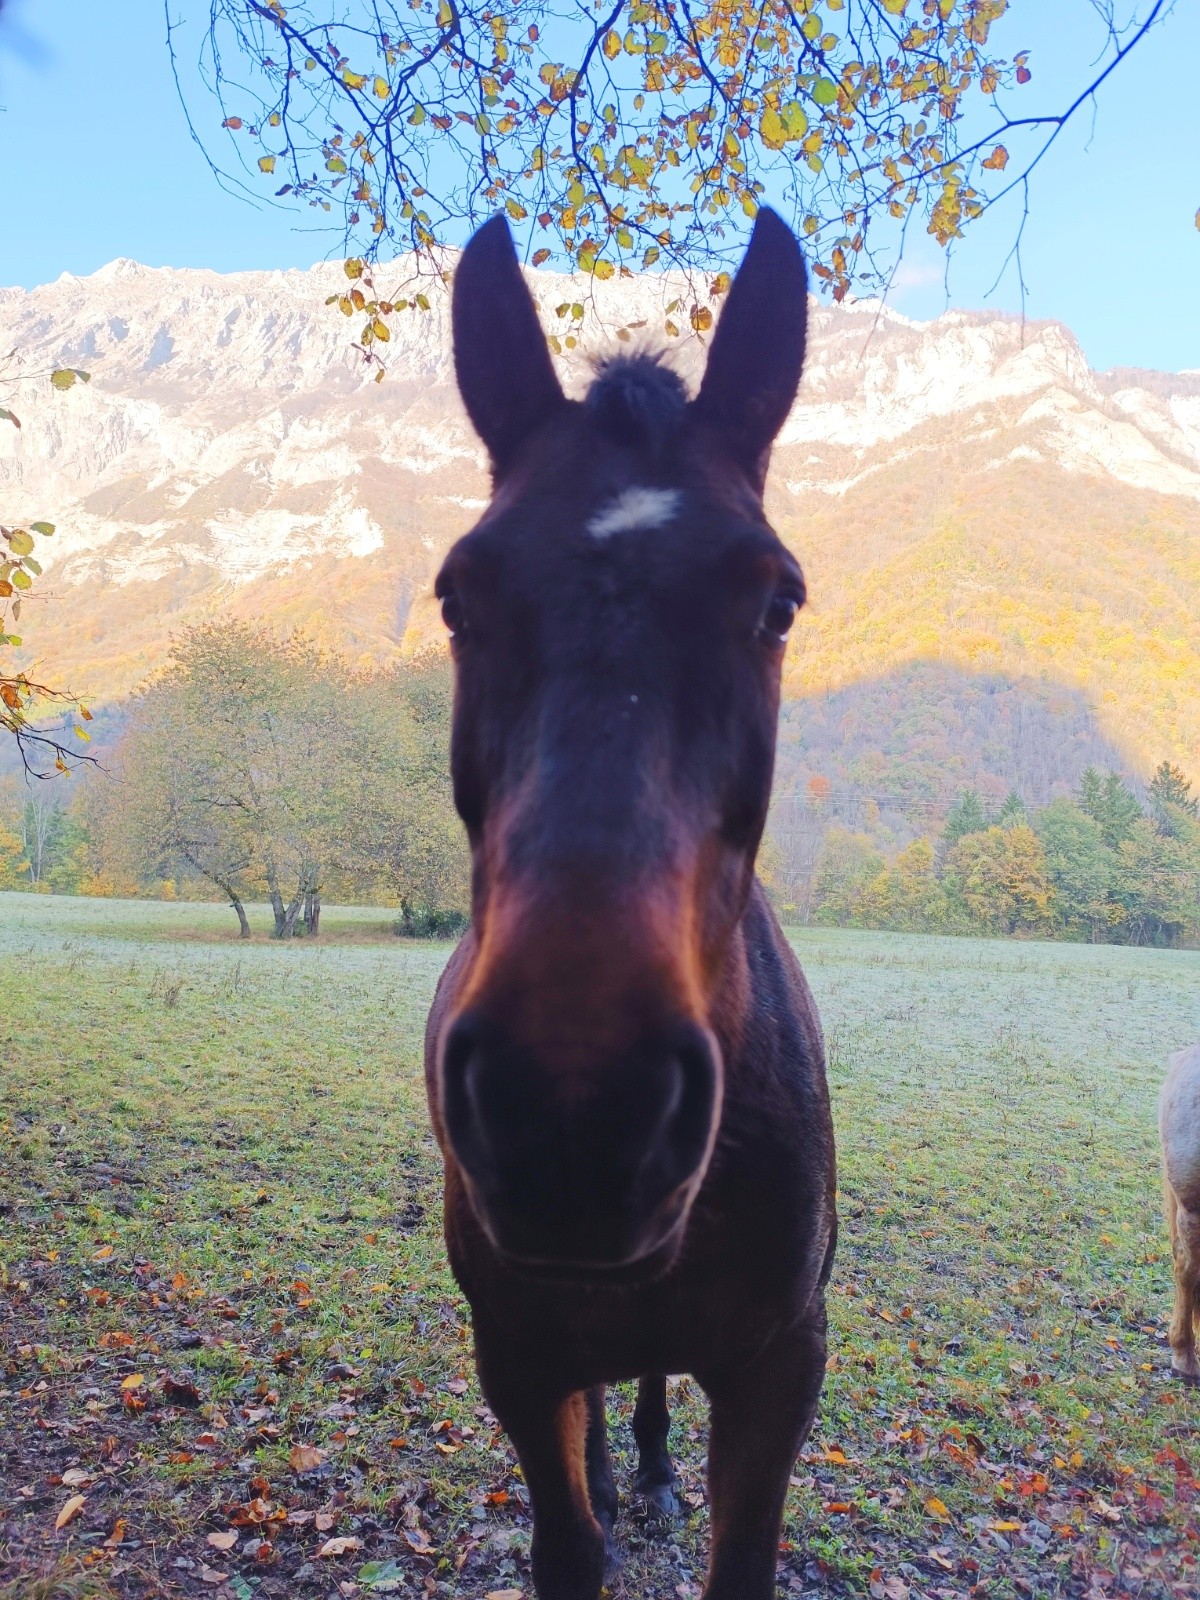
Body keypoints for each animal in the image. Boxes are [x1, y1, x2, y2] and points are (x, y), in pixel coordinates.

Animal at [428, 212, 838, 1600]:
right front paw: (599, 1493)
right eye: (458, 592)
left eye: (778, 599)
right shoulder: (515, 1356)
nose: (574, 1108)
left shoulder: (783, 1365)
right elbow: (570, 1542)